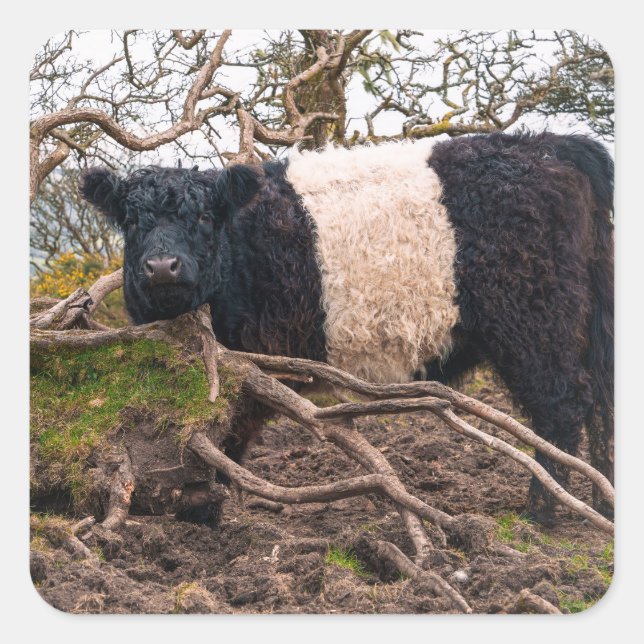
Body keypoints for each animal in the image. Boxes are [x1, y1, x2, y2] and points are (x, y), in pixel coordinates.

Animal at [80, 131, 614, 522]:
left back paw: (541, 512)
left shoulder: (248, 368)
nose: (163, 267)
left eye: (207, 218)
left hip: (535, 326)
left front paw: (203, 513)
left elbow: (222, 440)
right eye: (132, 221)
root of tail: (551, 144)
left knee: (561, 408)